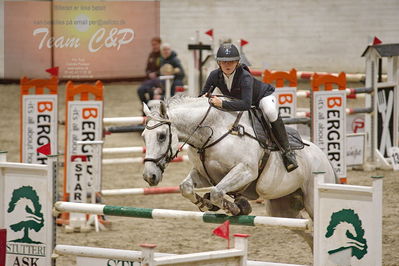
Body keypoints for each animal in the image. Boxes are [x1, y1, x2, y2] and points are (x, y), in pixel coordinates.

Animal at [142, 95, 336, 247]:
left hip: (312, 201)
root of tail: (324, 158)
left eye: (161, 136)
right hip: (282, 211)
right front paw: (206, 204)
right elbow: (186, 188)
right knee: (309, 235)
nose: (149, 176)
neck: (211, 134)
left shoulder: (246, 171)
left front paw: (238, 207)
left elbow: (217, 192)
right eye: (144, 137)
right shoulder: (204, 175)